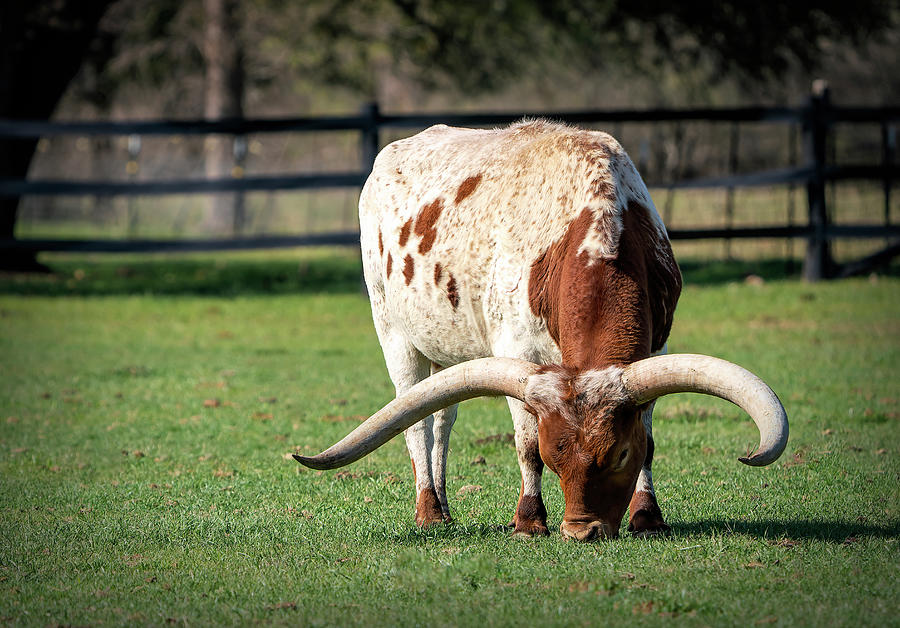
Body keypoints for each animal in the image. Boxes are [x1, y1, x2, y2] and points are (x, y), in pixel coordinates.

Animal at [298, 119, 788, 540]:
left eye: (619, 454)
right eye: (556, 456)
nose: (583, 530)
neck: (592, 226)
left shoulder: (656, 348)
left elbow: (648, 439)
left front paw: (648, 516)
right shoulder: (519, 353)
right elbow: (526, 444)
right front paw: (530, 521)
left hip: (445, 346)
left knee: (440, 417)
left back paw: (444, 507)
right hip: (394, 333)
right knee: (415, 422)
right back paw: (429, 512)